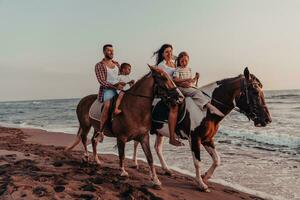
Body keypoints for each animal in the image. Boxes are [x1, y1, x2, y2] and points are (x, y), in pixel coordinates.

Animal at [131, 67, 272, 192]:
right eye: (255, 92)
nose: (267, 119)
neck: (207, 109)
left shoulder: (207, 139)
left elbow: (217, 160)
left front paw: (205, 176)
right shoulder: (195, 138)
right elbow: (197, 162)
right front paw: (200, 184)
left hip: (159, 132)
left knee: (157, 148)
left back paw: (166, 169)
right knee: (137, 143)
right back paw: (135, 163)